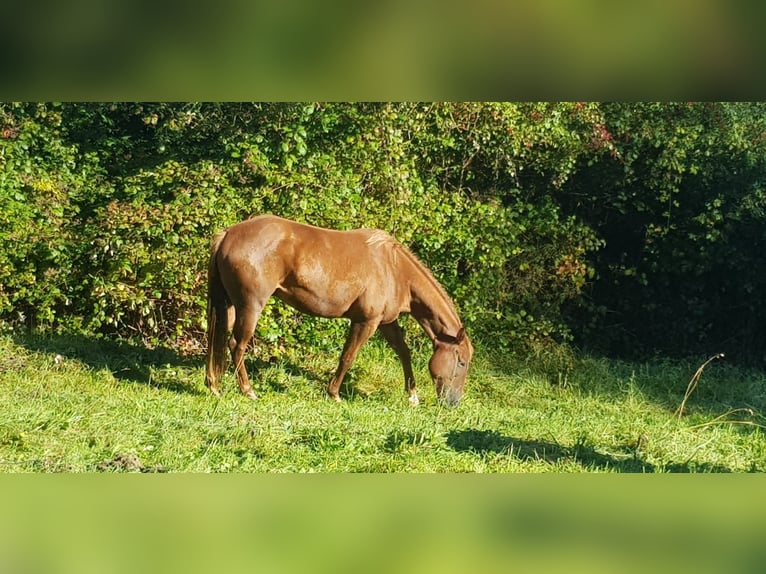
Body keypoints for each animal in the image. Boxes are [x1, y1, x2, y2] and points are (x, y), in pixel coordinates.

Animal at [207, 214, 476, 408]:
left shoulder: (386, 323)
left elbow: (404, 353)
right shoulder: (366, 322)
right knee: (236, 345)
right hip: (251, 306)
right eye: (462, 362)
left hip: (228, 305)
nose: (453, 403)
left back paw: (214, 386)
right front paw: (334, 393)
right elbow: (348, 356)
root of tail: (228, 234)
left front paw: (412, 396)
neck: (395, 270)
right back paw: (248, 390)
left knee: (215, 340)